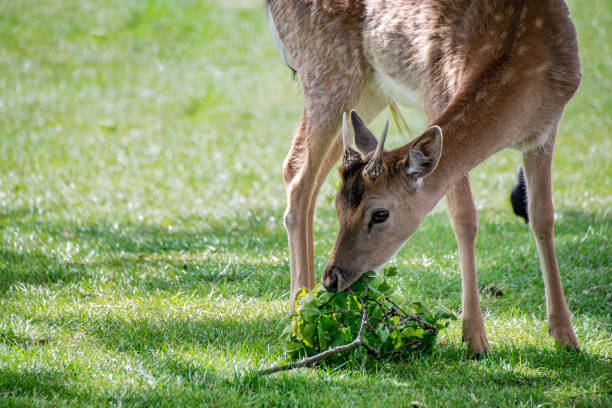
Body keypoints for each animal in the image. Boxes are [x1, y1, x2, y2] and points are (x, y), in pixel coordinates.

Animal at [266, 0, 580, 356]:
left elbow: (542, 216)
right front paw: (475, 339)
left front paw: (566, 336)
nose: (332, 279)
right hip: (325, 71)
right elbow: (464, 218)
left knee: (305, 175)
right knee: (298, 174)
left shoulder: (546, 131)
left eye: (380, 214)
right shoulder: (436, 89)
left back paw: (314, 307)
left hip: (368, 89)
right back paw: (299, 313)